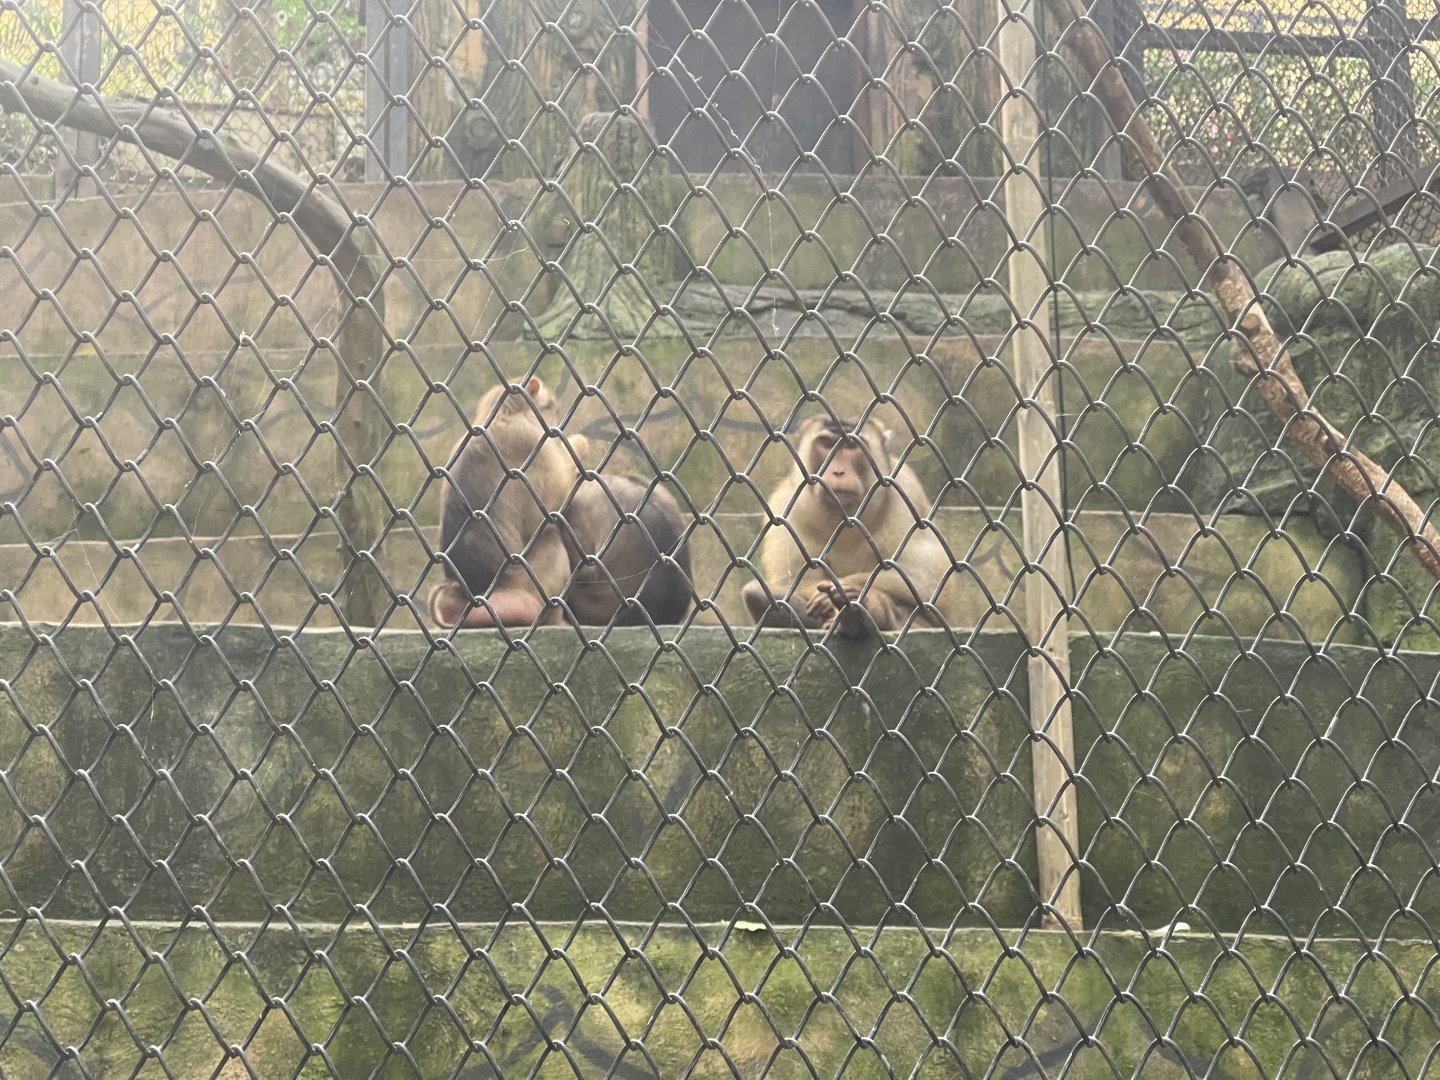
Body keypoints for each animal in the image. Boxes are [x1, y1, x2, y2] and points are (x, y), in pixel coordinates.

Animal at [428, 377, 691, 629]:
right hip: (531, 581)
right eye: (552, 407)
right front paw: (578, 444)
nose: (556, 421)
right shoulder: (531, 441)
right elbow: (554, 500)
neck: (505, 413)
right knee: (552, 535)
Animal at [741, 415, 957, 637]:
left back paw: (866, 610)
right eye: (826, 443)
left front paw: (844, 592)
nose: (838, 471)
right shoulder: (786, 508)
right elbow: (800, 581)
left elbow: (925, 582)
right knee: (757, 594)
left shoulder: (907, 491)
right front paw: (827, 599)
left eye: (852, 446)